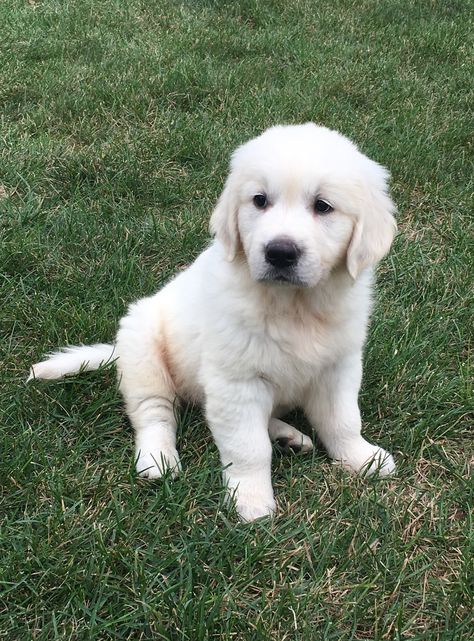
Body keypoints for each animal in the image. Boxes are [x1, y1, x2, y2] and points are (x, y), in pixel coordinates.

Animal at [29, 124, 398, 520]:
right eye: (259, 200)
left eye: (323, 206)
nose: (280, 253)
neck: (293, 306)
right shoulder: (235, 380)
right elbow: (248, 447)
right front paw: (252, 500)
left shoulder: (337, 367)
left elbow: (343, 421)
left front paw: (362, 458)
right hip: (144, 351)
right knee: (154, 413)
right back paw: (158, 458)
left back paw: (288, 436)